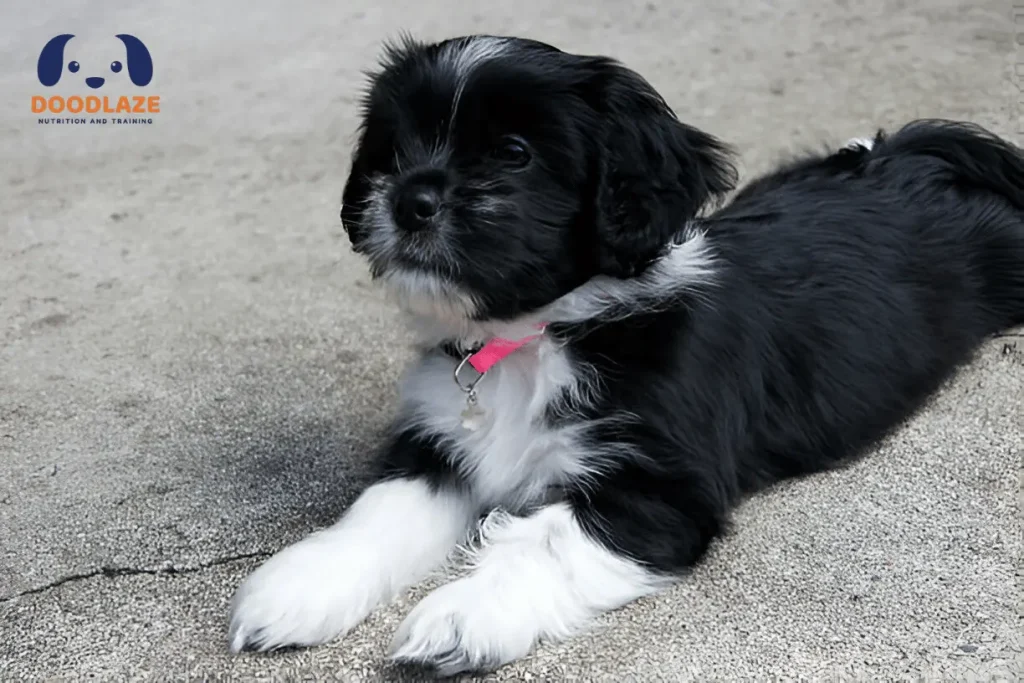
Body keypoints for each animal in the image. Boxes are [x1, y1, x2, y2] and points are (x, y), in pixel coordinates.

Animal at [228, 34, 1024, 675]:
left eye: (514, 153)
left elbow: (545, 540)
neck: (535, 337)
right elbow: (377, 513)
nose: (409, 200)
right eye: (398, 148)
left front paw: (464, 617)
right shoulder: (437, 445)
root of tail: (910, 156)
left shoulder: (659, 490)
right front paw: (300, 586)